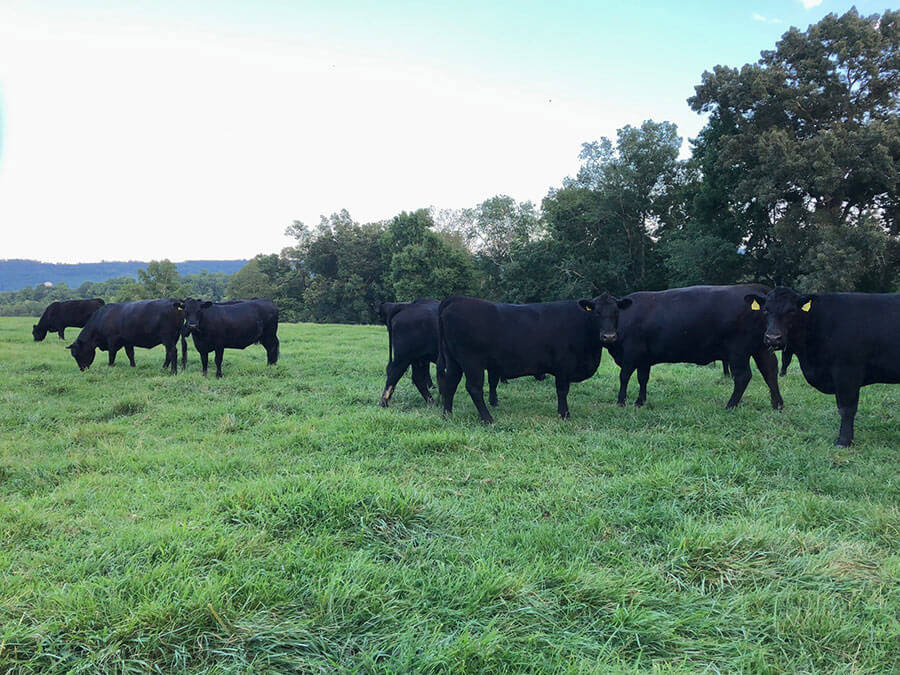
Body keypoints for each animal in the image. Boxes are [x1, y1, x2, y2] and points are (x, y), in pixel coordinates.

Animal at [440, 294, 628, 422]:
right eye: (596, 312)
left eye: (616, 312)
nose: (609, 336)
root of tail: (456, 299)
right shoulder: (563, 366)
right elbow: (562, 391)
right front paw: (564, 414)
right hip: (472, 362)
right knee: (474, 388)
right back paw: (487, 418)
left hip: (454, 361)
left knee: (450, 383)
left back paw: (447, 414)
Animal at [608, 286, 784, 412]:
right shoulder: (644, 359)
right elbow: (643, 378)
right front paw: (640, 402)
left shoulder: (631, 353)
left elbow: (624, 377)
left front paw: (621, 402)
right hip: (762, 347)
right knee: (770, 371)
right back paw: (777, 404)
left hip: (738, 351)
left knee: (743, 376)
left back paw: (730, 405)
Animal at [744, 288, 900, 446]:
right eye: (765, 310)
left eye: (792, 311)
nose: (773, 338)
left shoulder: (847, 372)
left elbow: (847, 408)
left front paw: (843, 441)